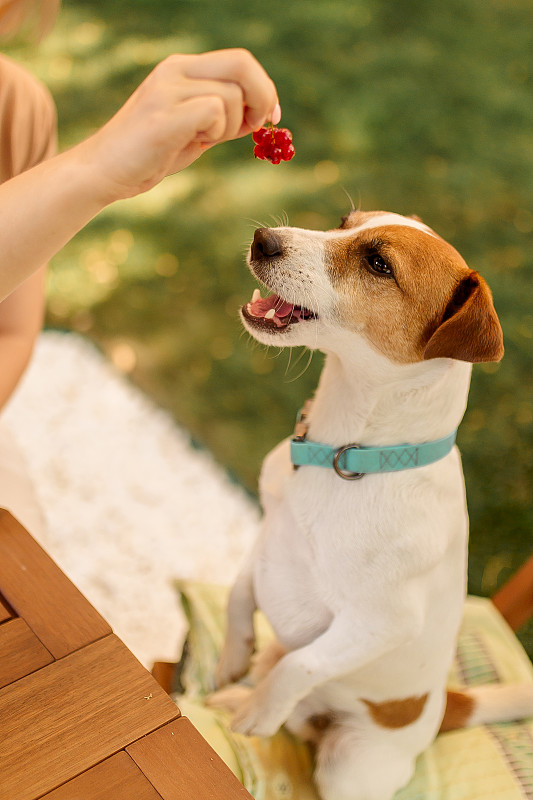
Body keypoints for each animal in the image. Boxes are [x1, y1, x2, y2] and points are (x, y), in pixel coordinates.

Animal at [210, 211, 528, 800]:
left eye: (378, 263)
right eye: (343, 224)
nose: (263, 238)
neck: (343, 452)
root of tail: (439, 711)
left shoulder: (378, 624)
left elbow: (302, 666)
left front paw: (260, 713)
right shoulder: (267, 536)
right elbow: (239, 596)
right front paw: (232, 659)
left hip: (350, 764)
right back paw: (235, 692)